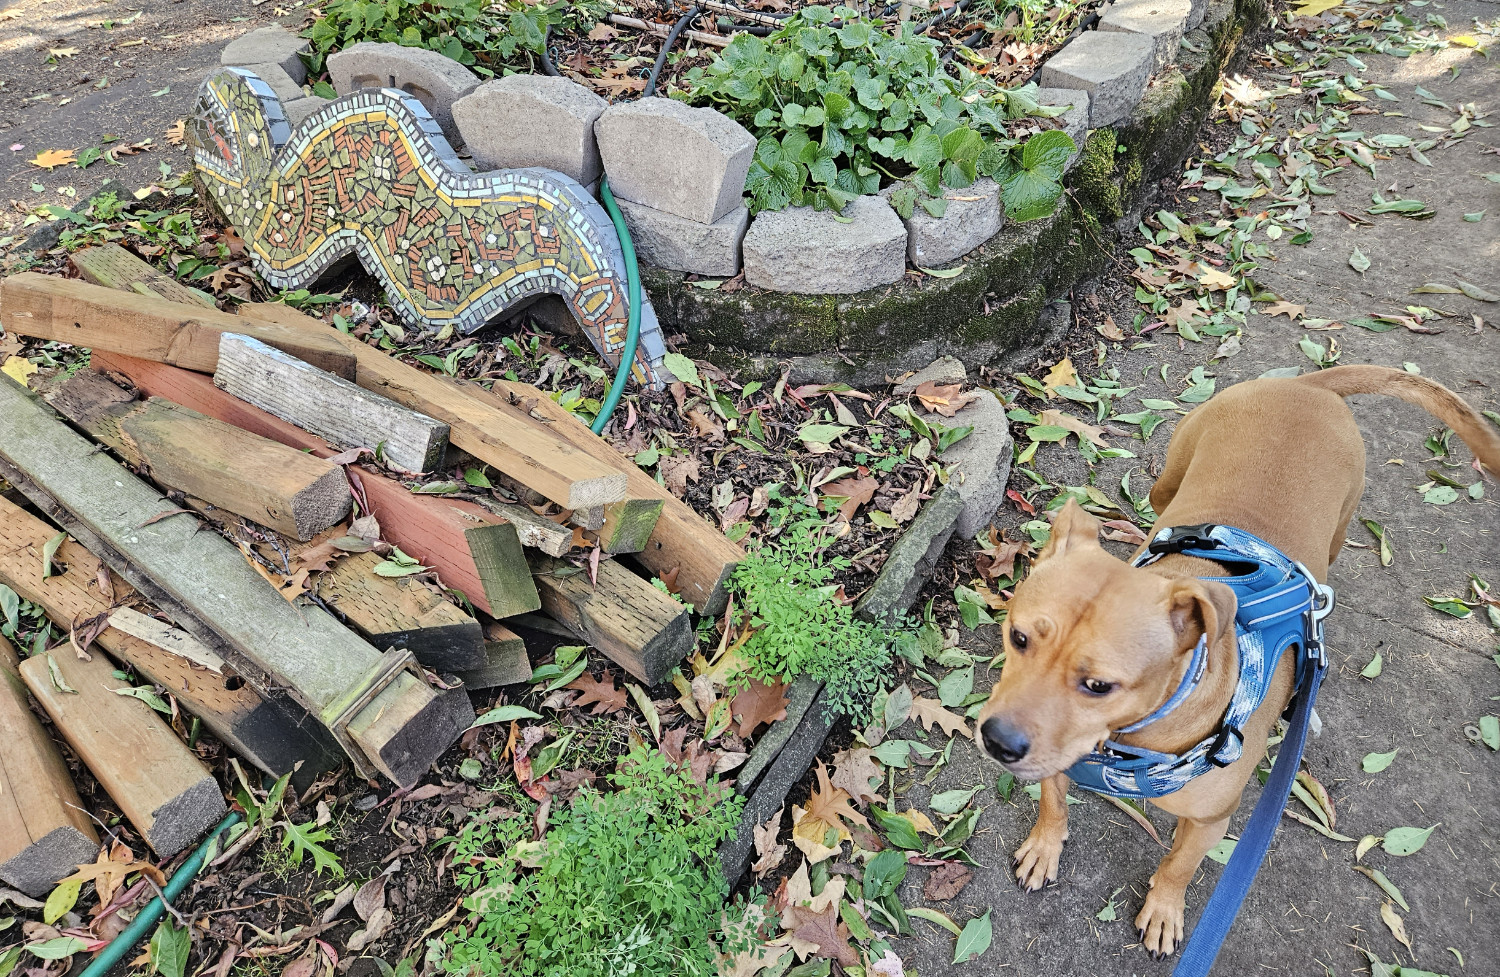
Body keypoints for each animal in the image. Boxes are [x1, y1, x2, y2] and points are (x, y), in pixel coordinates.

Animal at [978, 364, 1494, 954]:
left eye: (1100, 686)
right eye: (1017, 637)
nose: (997, 741)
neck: (1133, 739)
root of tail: (1308, 384)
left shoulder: (1209, 823)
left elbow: (1179, 866)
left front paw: (1164, 909)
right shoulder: (1057, 760)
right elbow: (1053, 803)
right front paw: (1045, 847)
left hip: (1336, 535)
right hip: (1170, 480)